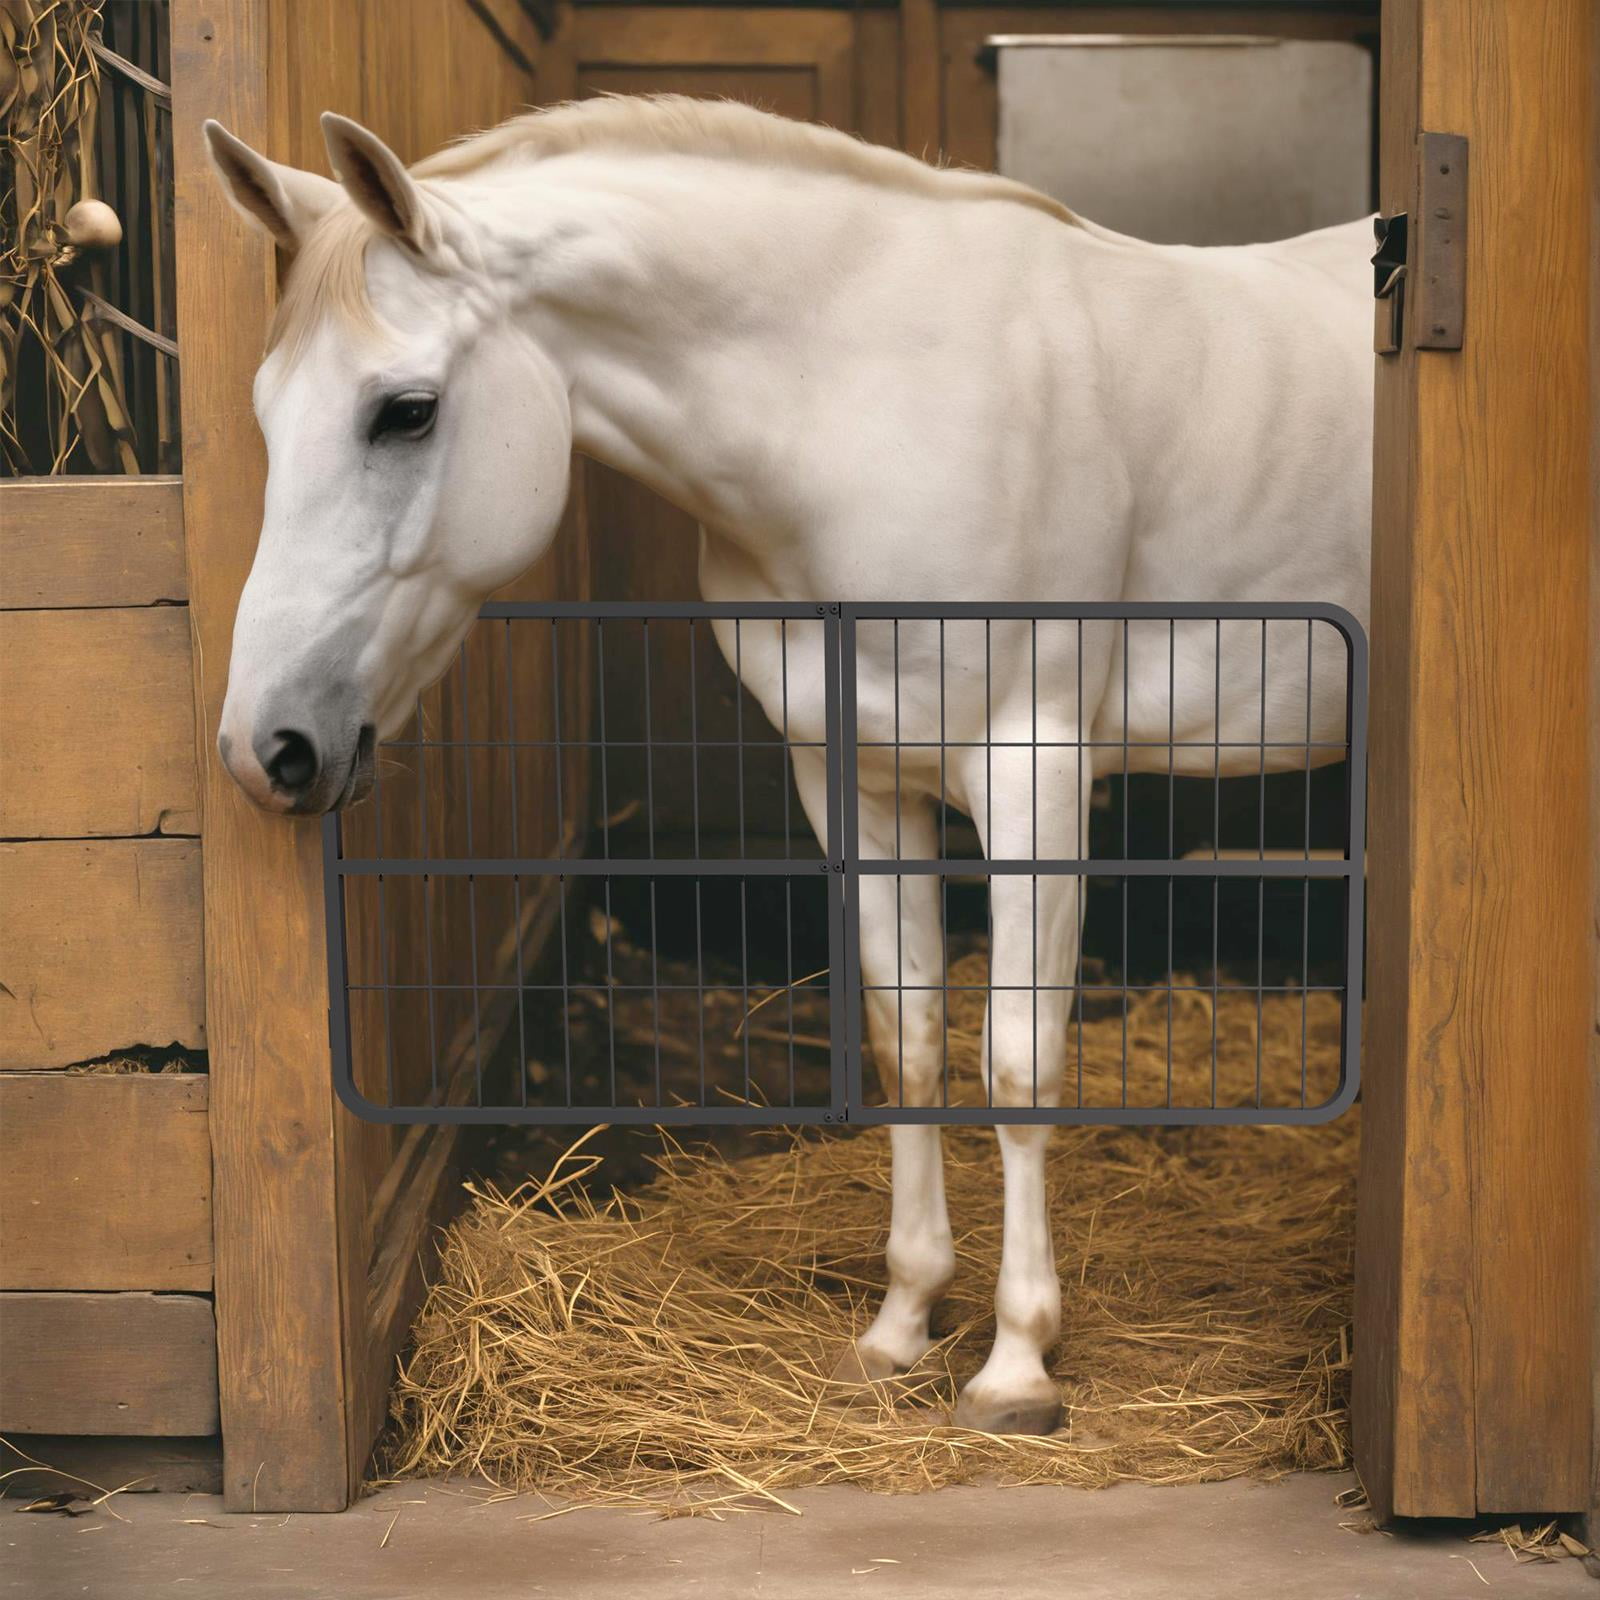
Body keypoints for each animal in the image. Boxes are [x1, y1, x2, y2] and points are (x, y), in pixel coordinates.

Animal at [205, 95, 1372, 1435]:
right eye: (267, 413)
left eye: (403, 410)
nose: (267, 746)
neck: (867, 398)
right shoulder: (855, 778)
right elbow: (905, 1035)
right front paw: (903, 1323)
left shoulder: (1033, 769)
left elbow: (1018, 1060)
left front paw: (1016, 1366)